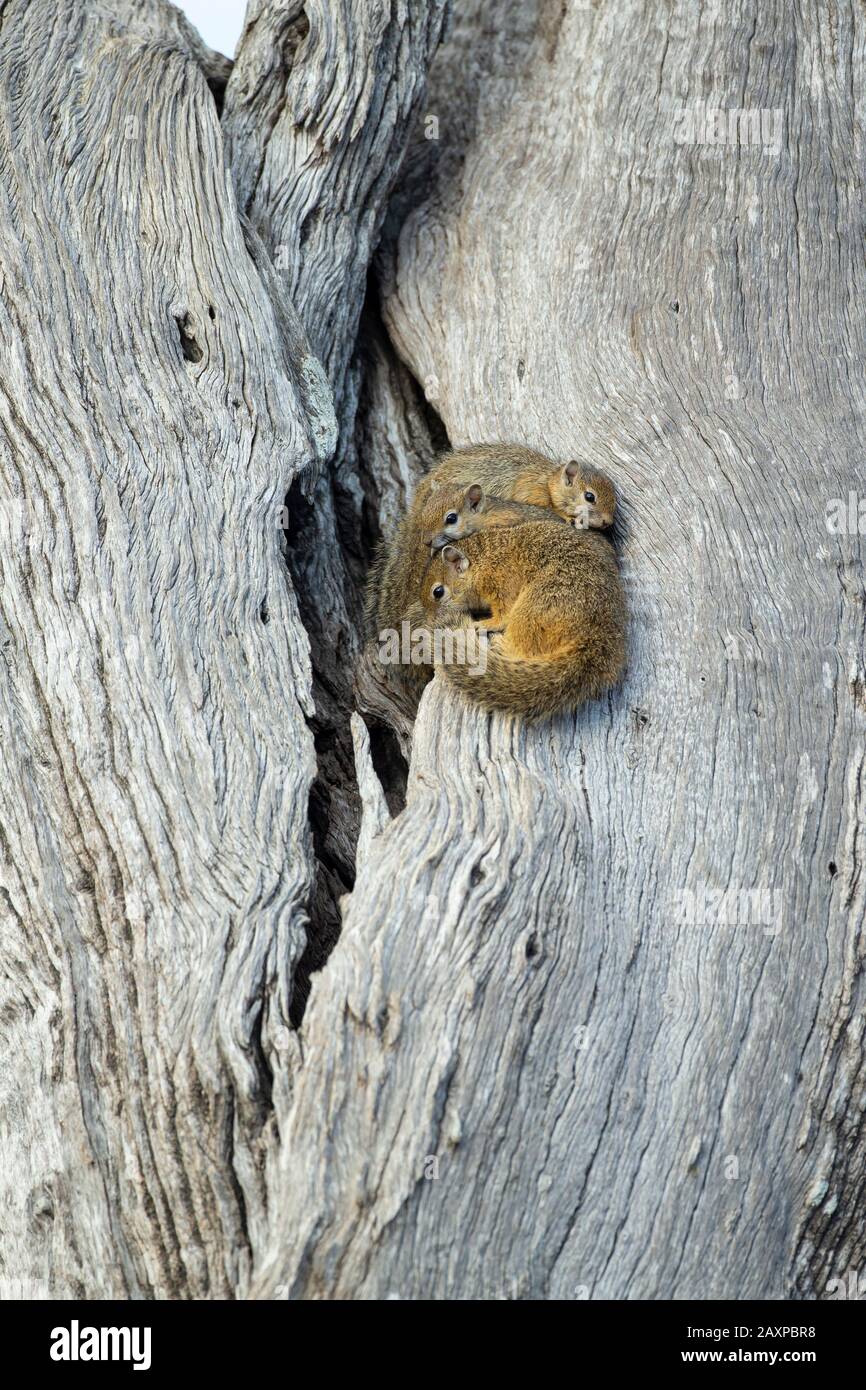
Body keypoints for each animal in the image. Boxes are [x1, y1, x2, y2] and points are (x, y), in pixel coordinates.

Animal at [419, 521, 626, 720]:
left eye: (438, 592)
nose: (430, 623)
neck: (482, 561)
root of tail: (593, 639)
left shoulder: (501, 582)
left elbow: (502, 616)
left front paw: (485, 623)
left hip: (532, 610)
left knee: (523, 648)